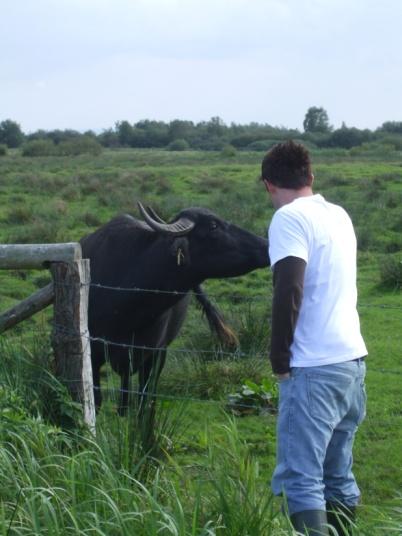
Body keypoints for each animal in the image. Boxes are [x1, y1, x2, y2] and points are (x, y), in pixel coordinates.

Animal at [80, 203, 268, 416]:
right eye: (213, 225)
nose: (265, 244)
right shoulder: (93, 353)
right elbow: (96, 400)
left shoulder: (155, 354)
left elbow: (145, 402)